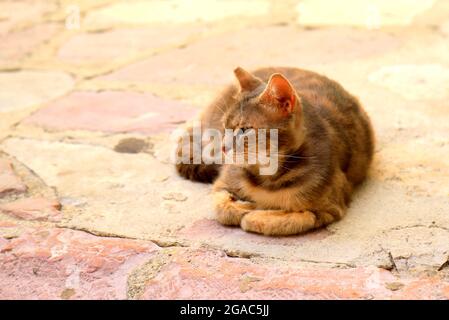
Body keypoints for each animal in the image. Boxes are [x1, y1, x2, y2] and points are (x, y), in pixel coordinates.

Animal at [173, 66, 372, 236]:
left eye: (244, 130)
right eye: (225, 127)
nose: (223, 147)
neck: (268, 176)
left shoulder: (330, 207)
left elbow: (294, 218)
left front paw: (256, 214)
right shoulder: (222, 183)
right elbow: (222, 206)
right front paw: (245, 207)